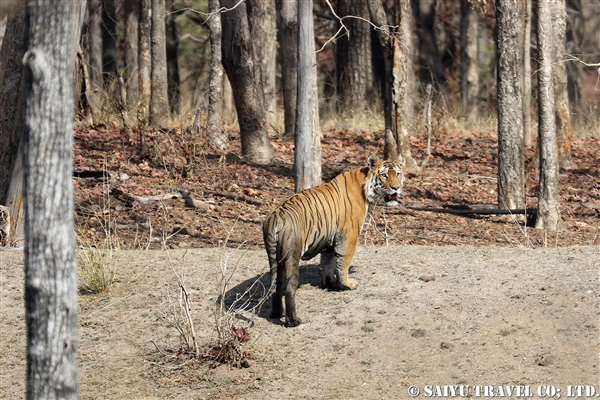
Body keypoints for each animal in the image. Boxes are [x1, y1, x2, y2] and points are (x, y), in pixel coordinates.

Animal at [262, 155, 404, 326]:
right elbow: (343, 262)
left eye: (398, 174)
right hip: (291, 255)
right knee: (289, 289)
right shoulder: (349, 236)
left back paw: (277, 314)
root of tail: (274, 217)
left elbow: (328, 264)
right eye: (384, 175)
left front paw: (331, 284)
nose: (396, 188)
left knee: (277, 287)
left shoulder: (329, 240)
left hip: (276, 260)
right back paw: (293, 321)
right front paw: (347, 284)